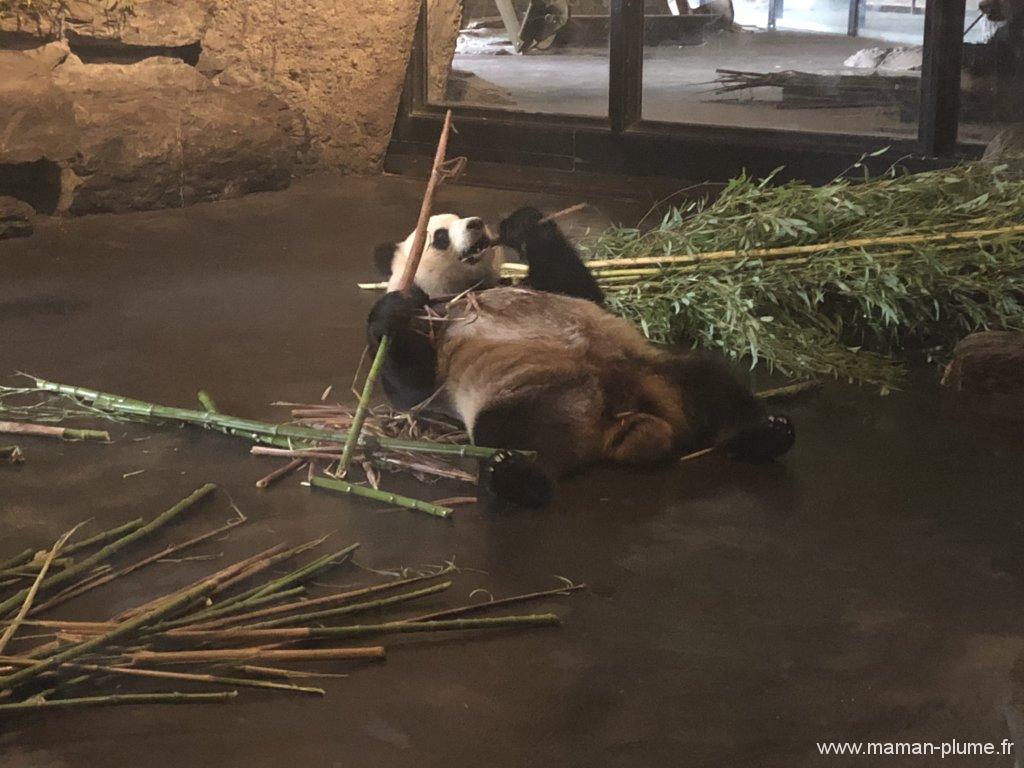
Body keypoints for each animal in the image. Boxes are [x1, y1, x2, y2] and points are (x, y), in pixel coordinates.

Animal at [364, 205, 794, 505]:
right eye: (438, 235)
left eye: (470, 220)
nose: (476, 225)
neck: (470, 291)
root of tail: (624, 419)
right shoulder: (439, 322)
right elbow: (413, 388)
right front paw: (392, 311)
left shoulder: (535, 286)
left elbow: (579, 287)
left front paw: (523, 224)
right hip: (536, 398)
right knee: (504, 431)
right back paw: (516, 476)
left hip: (655, 371)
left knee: (713, 380)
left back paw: (766, 434)